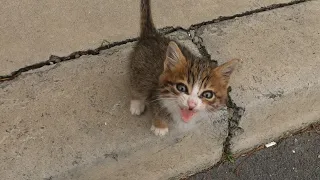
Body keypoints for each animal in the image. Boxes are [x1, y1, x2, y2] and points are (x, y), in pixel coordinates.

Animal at [129, 0, 239, 136]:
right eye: (181, 88)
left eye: (207, 95)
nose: (191, 104)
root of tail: (152, 34)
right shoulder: (155, 94)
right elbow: (157, 111)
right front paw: (160, 127)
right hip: (138, 69)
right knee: (136, 85)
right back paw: (136, 104)